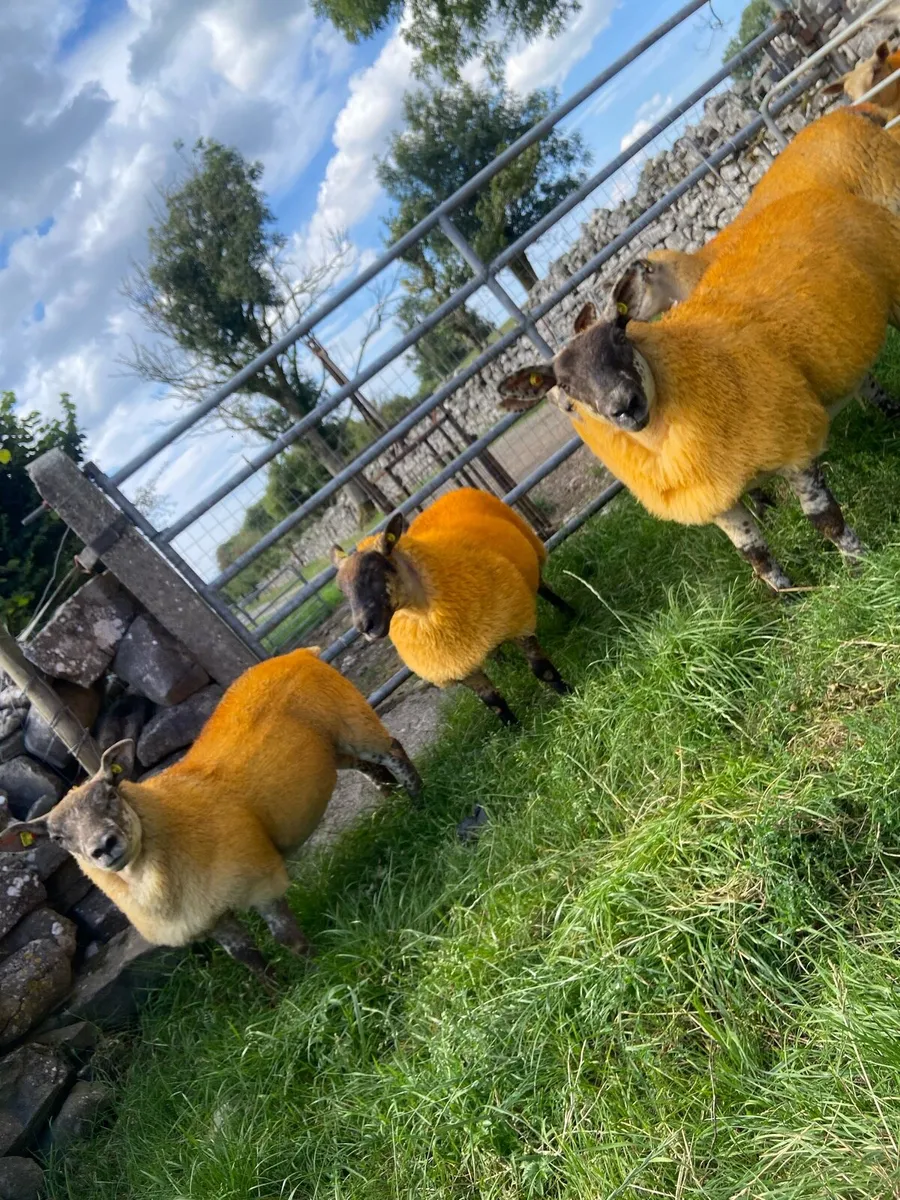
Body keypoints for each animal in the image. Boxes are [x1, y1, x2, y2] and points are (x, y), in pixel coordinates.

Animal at [0, 648, 421, 985]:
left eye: (110, 793)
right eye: (57, 838)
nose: (103, 846)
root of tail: (296, 654)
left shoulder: (259, 881)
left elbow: (286, 937)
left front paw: (318, 972)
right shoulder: (208, 916)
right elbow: (247, 957)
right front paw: (276, 997)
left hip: (354, 722)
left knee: (393, 753)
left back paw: (420, 802)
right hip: (332, 747)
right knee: (370, 769)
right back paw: (392, 802)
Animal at [331, 488, 573, 726]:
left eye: (374, 571)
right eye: (342, 590)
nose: (364, 625)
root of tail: (442, 498)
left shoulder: (517, 620)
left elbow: (543, 670)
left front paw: (569, 697)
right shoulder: (456, 663)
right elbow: (493, 701)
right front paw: (516, 730)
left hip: (531, 553)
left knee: (545, 589)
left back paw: (570, 613)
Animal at [496, 187, 900, 591]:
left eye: (619, 337)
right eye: (565, 385)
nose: (624, 405)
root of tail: (807, 195)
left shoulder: (791, 443)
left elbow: (825, 519)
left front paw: (861, 570)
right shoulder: (713, 496)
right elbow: (755, 553)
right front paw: (790, 597)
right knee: (867, 383)